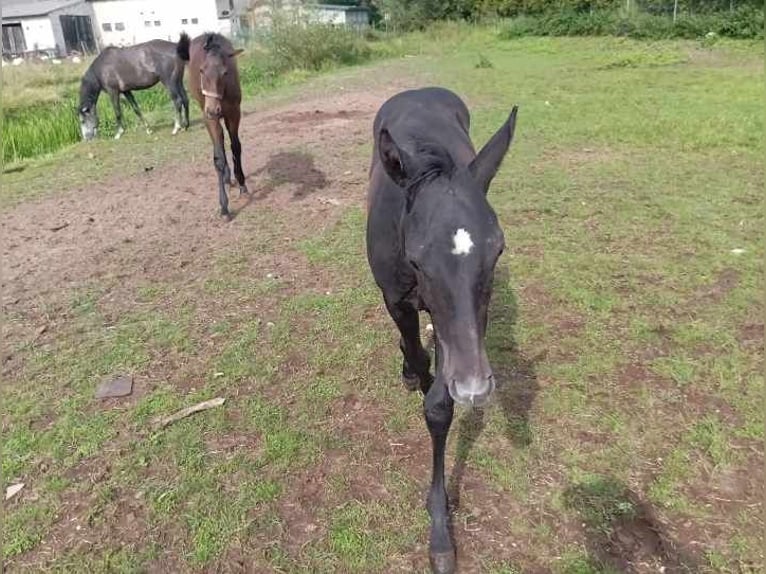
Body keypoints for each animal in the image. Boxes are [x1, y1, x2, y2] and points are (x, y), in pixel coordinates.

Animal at [182, 33, 249, 218]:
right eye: (201, 70)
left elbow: (235, 147)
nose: (213, 109)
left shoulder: (234, 113)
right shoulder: (210, 117)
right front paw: (224, 207)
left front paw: (242, 184)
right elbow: (218, 157)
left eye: (225, 72)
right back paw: (225, 176)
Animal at [368, 88, 520, 572]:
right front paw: (415, 371)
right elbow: (418, 355)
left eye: (498, 250)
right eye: (417, 258)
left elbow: (439, 407)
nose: (476, 387)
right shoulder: (397, 297)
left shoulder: (472, 317)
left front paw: (439, 526)